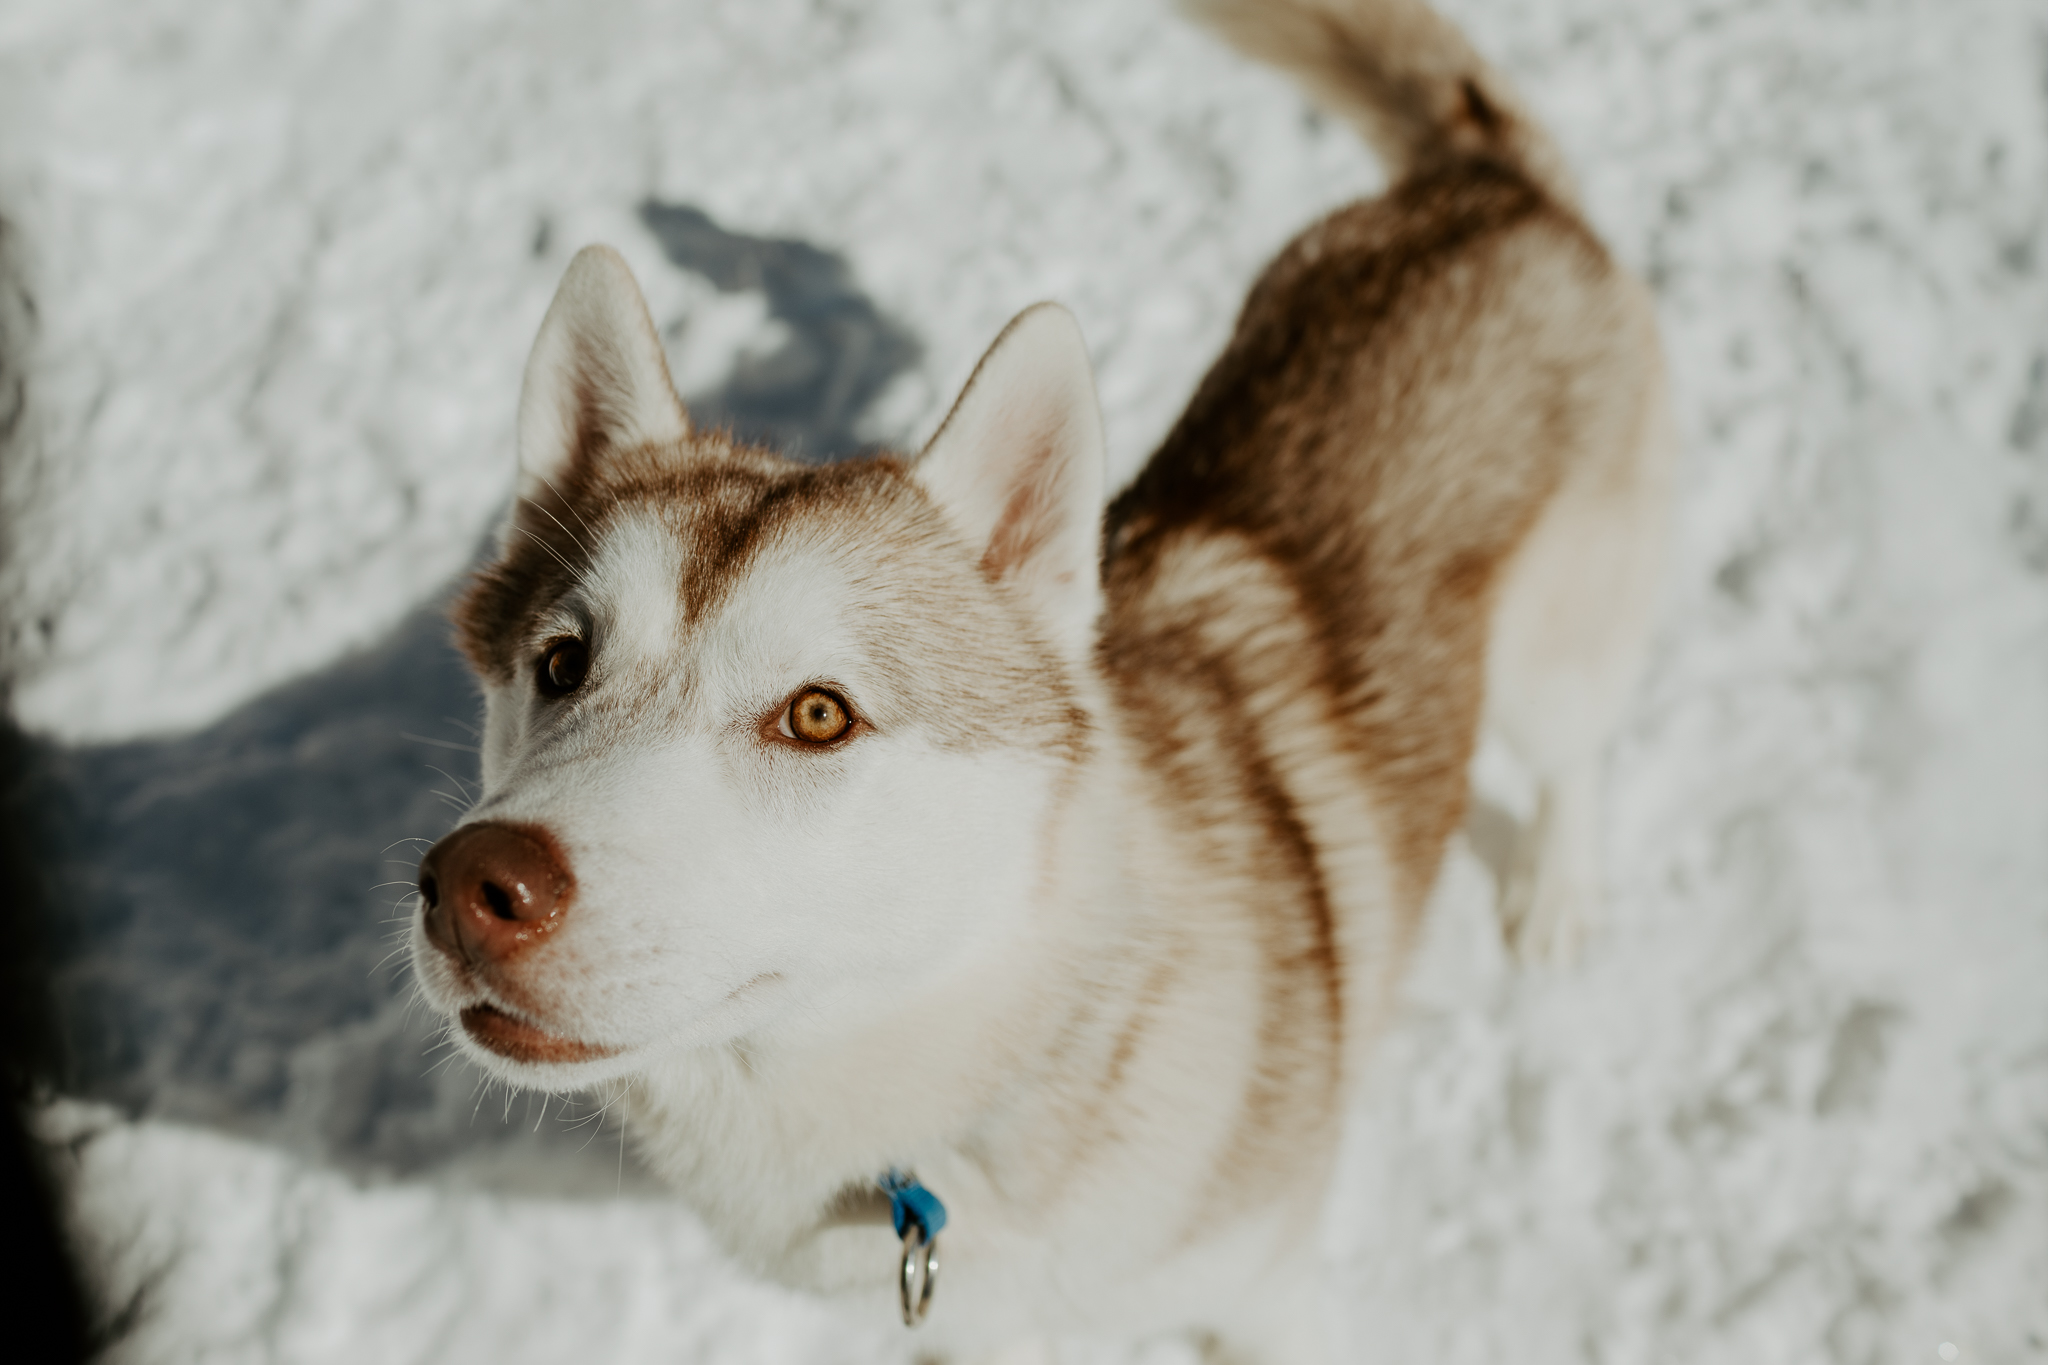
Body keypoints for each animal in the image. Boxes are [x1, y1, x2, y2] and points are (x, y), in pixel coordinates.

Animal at [408, 0, 1670, 1359]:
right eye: (561, 662)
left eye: (817, 714)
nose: (475, 885)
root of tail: (1477, 186)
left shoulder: (1262, 1291)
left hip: (1554, 660)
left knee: (1576, 756)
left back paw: (1554, 897)